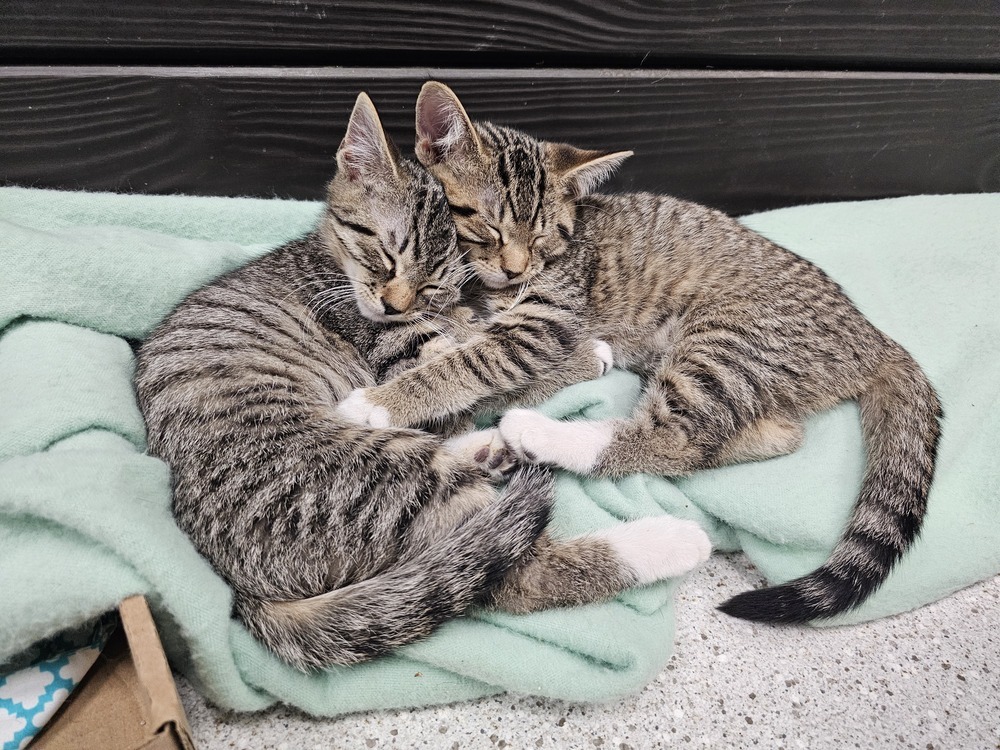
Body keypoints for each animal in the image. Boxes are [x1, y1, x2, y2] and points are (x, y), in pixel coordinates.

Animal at [135, 95, 712, 676]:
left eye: (433, 279)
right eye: (386, 254)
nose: (394, 305)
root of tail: (240, 589)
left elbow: (484, 358)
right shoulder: (399, 346)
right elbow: (476, 372)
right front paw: (582, 356)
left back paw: (499, 447)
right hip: (384, 477)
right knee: (516, 573)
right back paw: (671, 538)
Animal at [346, 79, 944, 624]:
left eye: (543, 238)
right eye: (486, 226)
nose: (516, 270)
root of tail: (871, 335)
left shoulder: (543, 320)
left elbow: (471, 360)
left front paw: (379, 404)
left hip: (724, 342)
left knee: (676, 438)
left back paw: (542, 434)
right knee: (769, 436)